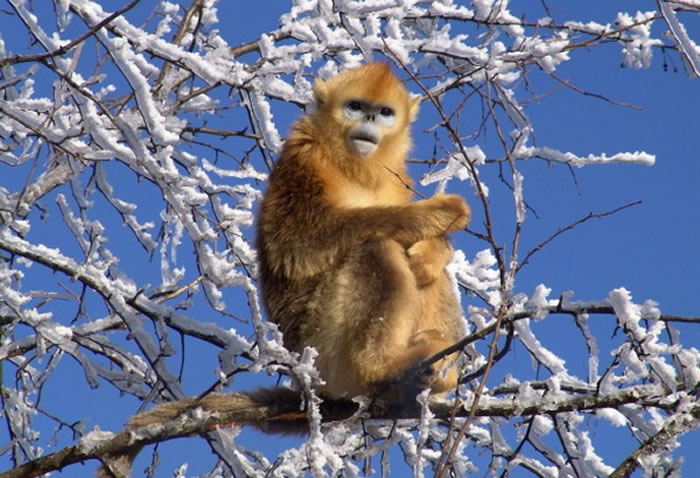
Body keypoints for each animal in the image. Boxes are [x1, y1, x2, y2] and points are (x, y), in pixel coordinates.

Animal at [97, 61, 470, 476]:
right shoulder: (302, 157)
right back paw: (381, 366)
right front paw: (437, 214)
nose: (370, 119)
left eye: (385, 112)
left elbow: (425, 257)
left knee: (426, 274)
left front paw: (434, 248)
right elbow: (301, 243)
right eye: (356, 106)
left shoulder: (396, 177)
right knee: (375, 246)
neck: (356, 167)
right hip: (323, 348)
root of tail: (314, 387)